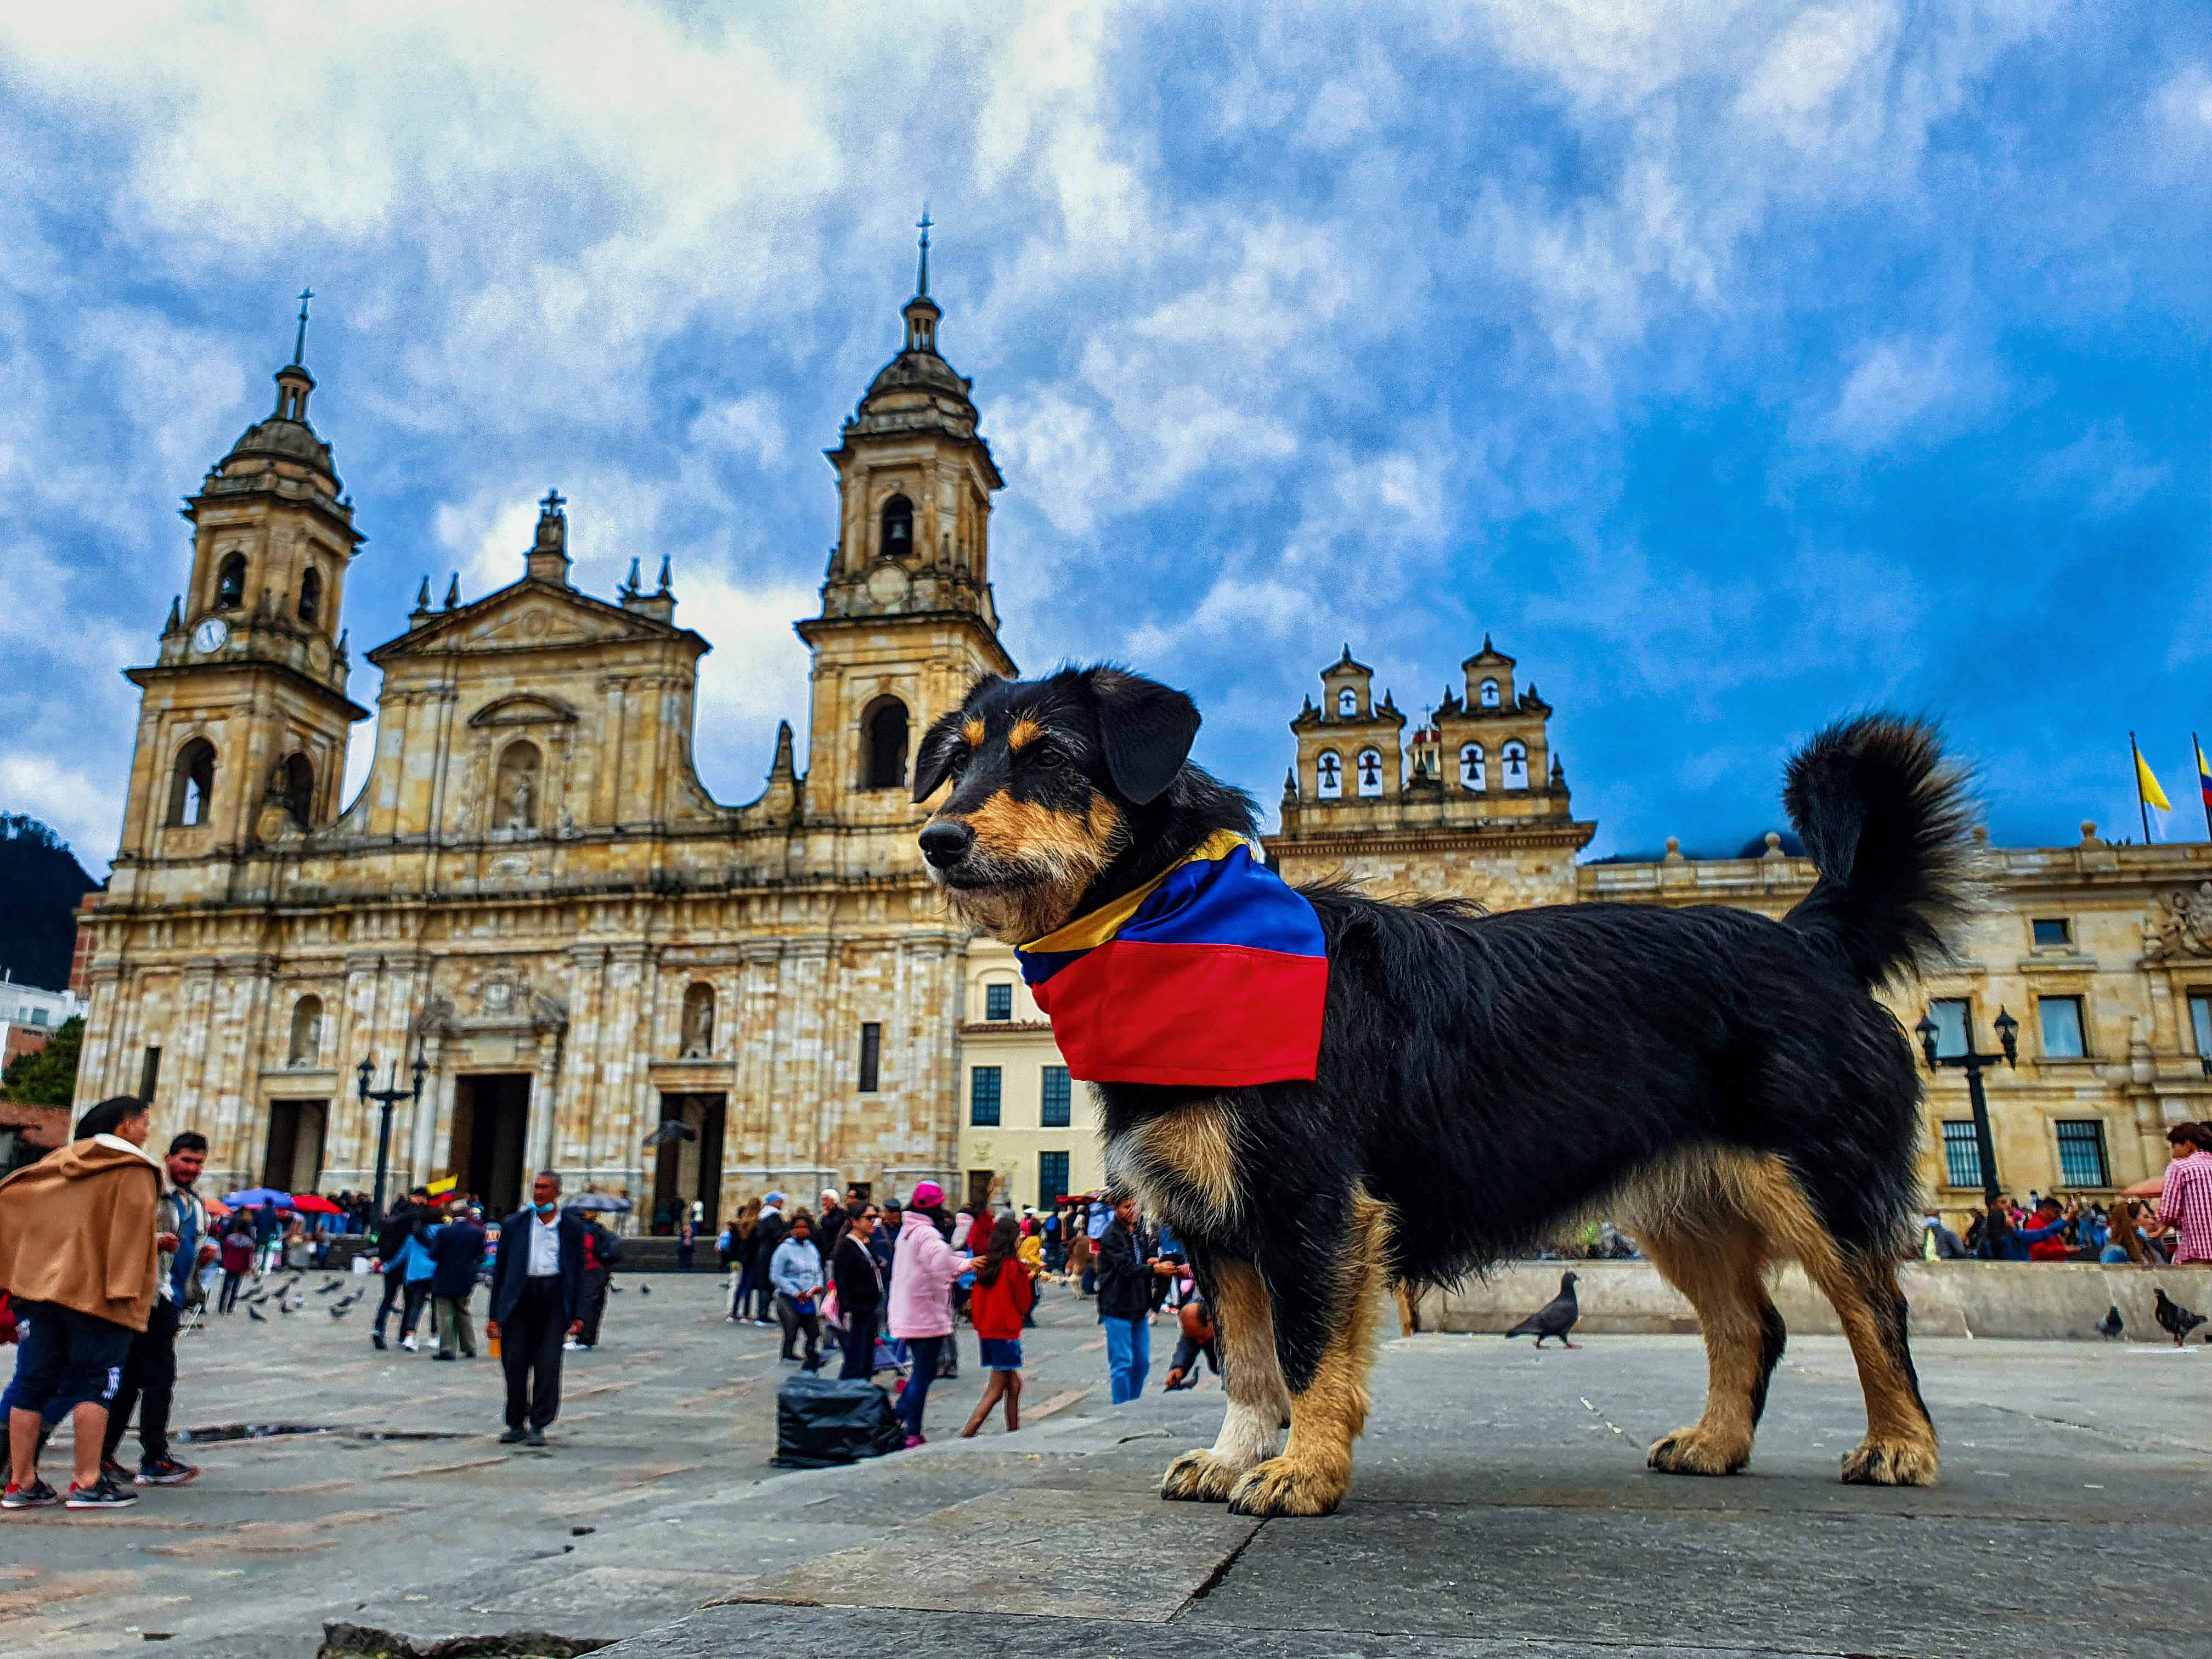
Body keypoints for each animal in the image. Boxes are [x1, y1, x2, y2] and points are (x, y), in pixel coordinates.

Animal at [911, 668, 1973, 1522]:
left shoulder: (1314, 1205)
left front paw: (1302, 1471)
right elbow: (1248, 1359)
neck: (1175, 921)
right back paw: (1716, 1443)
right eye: (957, 762)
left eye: (1050, 755)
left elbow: (1306, 1350)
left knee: (1878, 1311)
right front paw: (1230, 1456)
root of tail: (1808, 935)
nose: (935, 839)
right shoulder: (1213, 1221)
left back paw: (1900, 1445)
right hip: (1686, 1207)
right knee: (1751, 1323)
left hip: (1818, 1187)